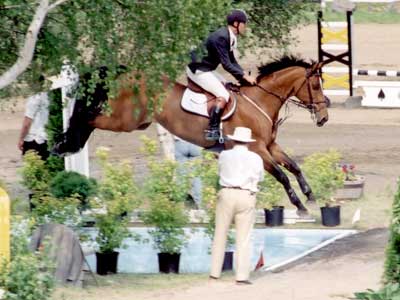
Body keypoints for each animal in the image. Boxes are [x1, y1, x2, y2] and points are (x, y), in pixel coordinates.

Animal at [55, 56, 328, 216]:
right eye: (315, 85)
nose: (324, 118)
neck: (259, 101)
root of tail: (127, 74)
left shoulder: (270, 145)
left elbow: (294, 167)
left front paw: (311, 196)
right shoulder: (257, 149)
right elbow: (282, 175)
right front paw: (300, 206)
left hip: (138, 122)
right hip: (125, 120)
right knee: (89, 117)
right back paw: (63, 143)